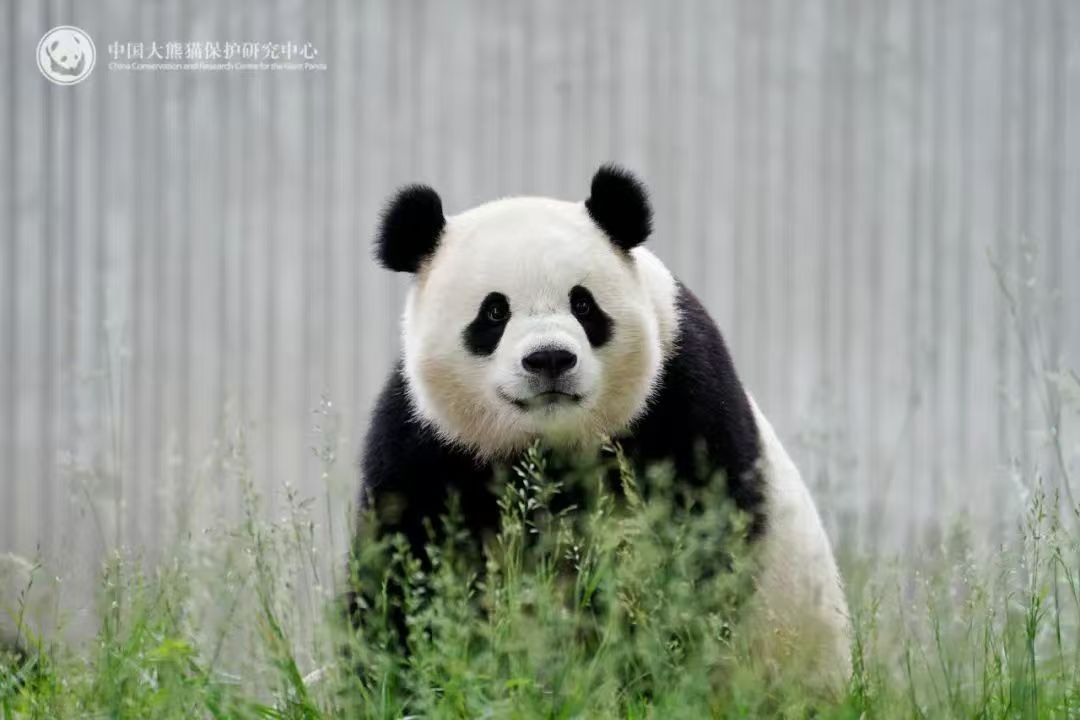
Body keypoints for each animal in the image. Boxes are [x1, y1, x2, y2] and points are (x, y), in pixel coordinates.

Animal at [354, 164, 851, 689]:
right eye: (494, 311)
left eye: (583, 305)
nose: (550, 359)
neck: (548, 448)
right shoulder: (427, 439)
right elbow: (403, 564)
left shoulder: (681, 396)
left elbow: (691, 546)